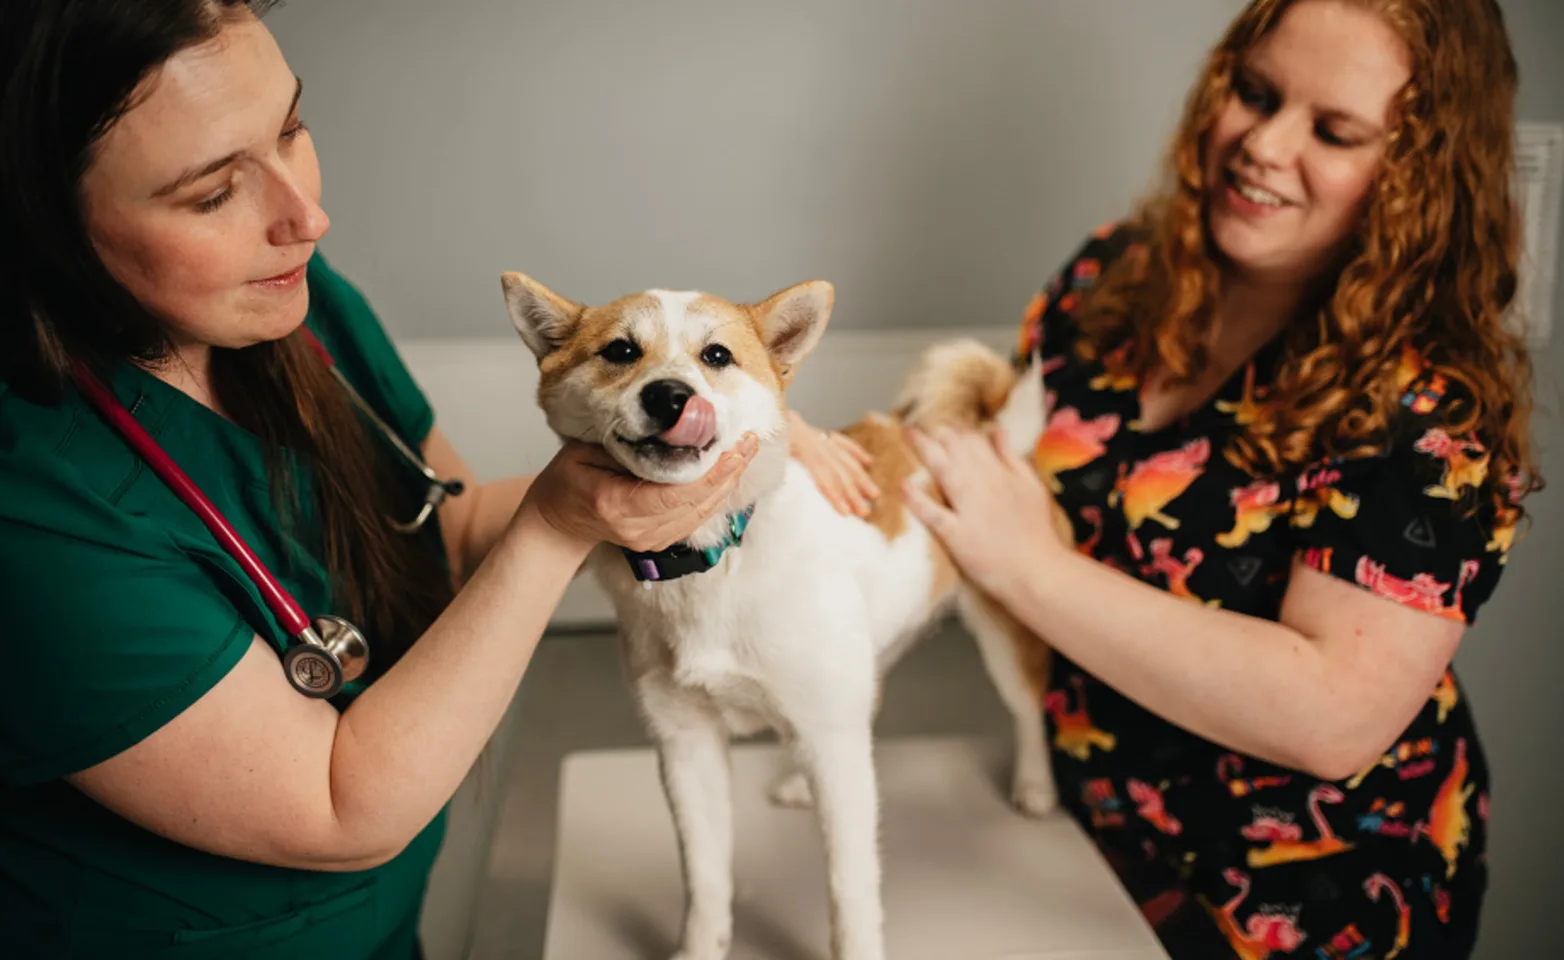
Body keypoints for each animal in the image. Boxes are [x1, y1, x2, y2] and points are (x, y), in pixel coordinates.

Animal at [500, 272, 1063, 960]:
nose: (670, 395)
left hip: (1003, 634)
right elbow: (705, 879)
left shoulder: (835, 751)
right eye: (620, 351)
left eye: (717, 355)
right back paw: (799, 778)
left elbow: (850, 888)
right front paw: (700, 948)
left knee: (1027, 709)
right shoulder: (686, 746)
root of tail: (979, 432)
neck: (711, 560)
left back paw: (1034, 784)